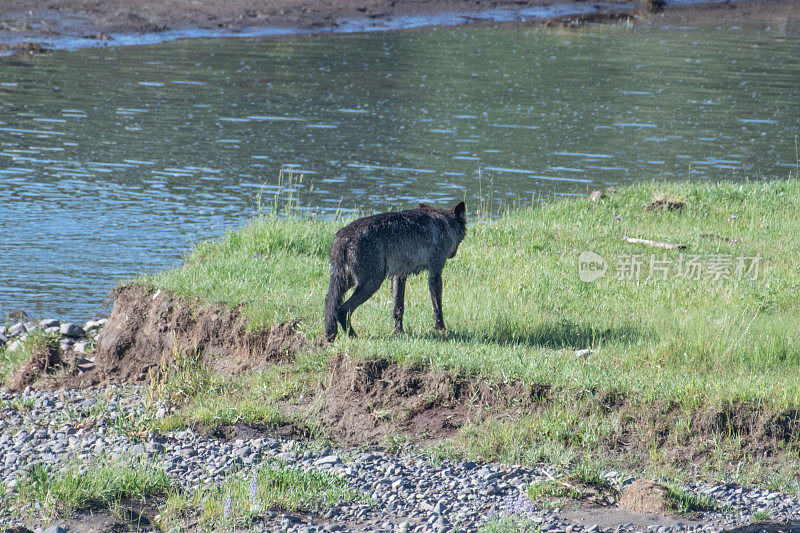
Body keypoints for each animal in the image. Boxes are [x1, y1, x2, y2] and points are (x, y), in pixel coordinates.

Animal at [322, 200, 466, 340]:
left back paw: (331, 335)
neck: (445, 223)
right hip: (371, 284)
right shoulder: (435, 273)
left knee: (330, 303)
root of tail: (342, 237)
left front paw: (398, 332)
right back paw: (353, 335)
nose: (453, 254)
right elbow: (437, 306)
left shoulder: (399, 276)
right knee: (343, 310)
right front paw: (441, 328)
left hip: (347, 283)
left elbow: (398, 307)